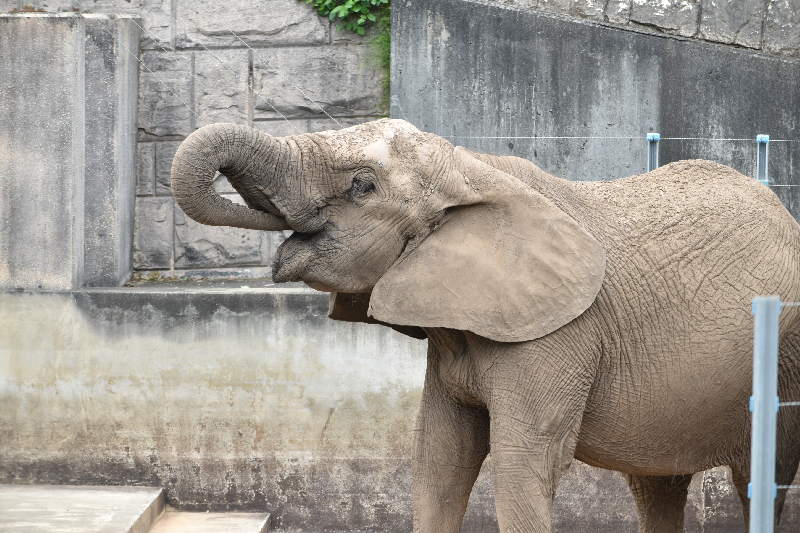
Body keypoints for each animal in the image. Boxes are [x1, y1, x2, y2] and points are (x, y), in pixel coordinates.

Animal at [170, 120, 800, 532]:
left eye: (361, 185)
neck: (470, 169)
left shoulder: (557, 336)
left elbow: (523, 466)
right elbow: (438, 458)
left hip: (786, 357)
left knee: (762, 479)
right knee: (657, 483)